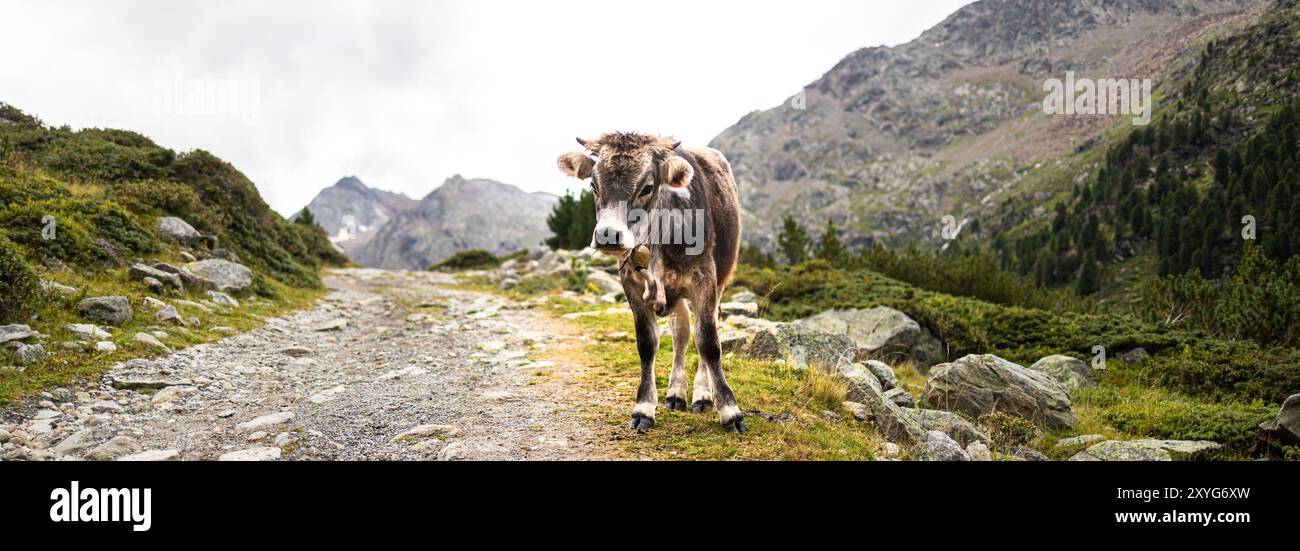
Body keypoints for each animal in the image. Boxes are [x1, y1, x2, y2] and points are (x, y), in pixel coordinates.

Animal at [553, 131, 748, 431]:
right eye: (593, 185)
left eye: (646, 188)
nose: (608, 235)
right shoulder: (630, 281)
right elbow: (647, 343)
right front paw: (644, 407)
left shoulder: (705, 276)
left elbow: (708, 341)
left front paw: (729, 410)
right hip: (674, 293)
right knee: (681, 331)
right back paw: (676, 393)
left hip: (721, 279)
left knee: (700, 332)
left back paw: (702, 396)